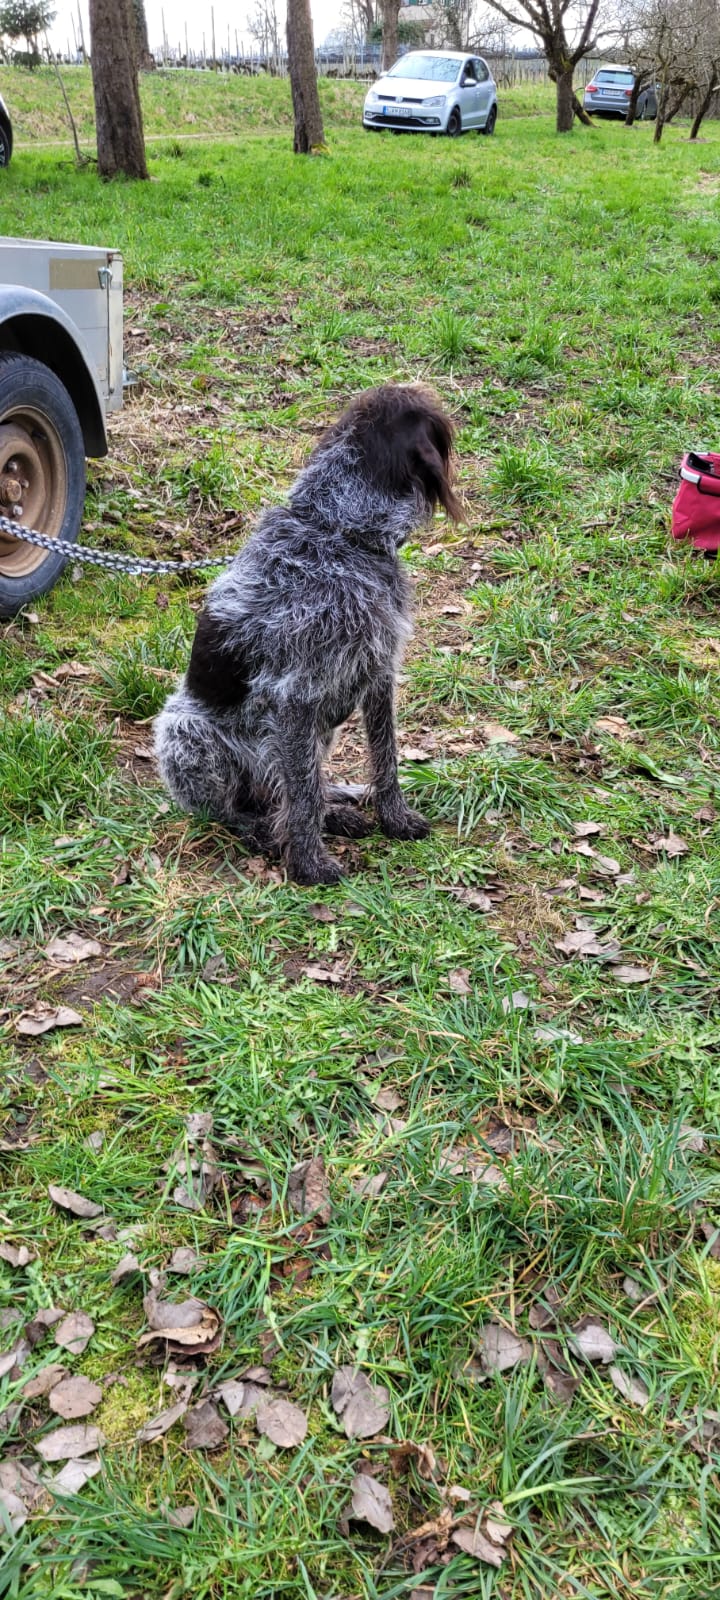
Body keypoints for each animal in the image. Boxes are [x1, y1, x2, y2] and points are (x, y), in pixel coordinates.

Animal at [154, 383, 461, 885]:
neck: (340, 529)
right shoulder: (296, 696)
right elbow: (303, 797)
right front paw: (308, 864)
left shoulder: (378, 673)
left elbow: (385, 756)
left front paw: (393, 819)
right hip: (186, 731)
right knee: (239, 809)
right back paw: (264, 830)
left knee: (292, 787)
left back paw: (337, 809)